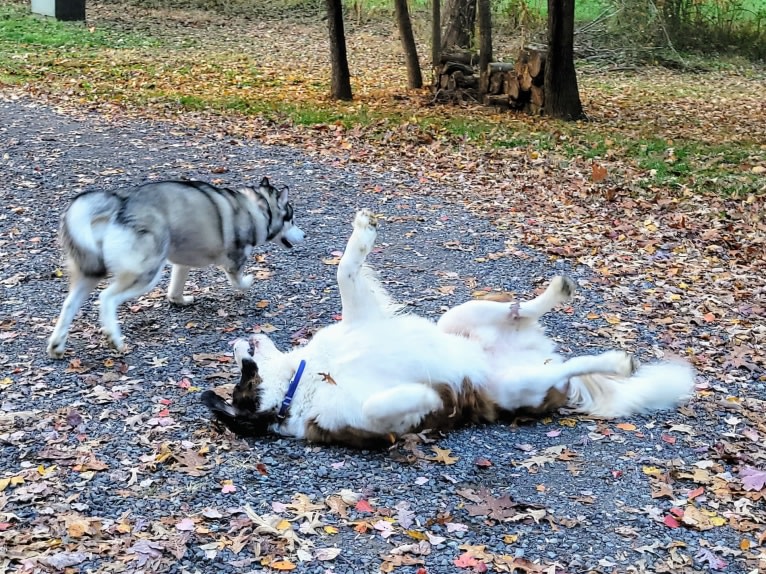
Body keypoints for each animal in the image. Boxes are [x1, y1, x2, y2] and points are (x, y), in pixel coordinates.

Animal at [204, 209, 696, 448]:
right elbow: (385, 404)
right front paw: (427, 398)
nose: (237, 341)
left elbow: (345, 269)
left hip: (459, 316)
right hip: (521, 384)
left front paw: (362, 232)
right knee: (569, 365)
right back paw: (617, 361)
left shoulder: (362, 316)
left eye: (242, 371)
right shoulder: (368, 425)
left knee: (519, 310)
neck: (303, 383)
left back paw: (557, 290)